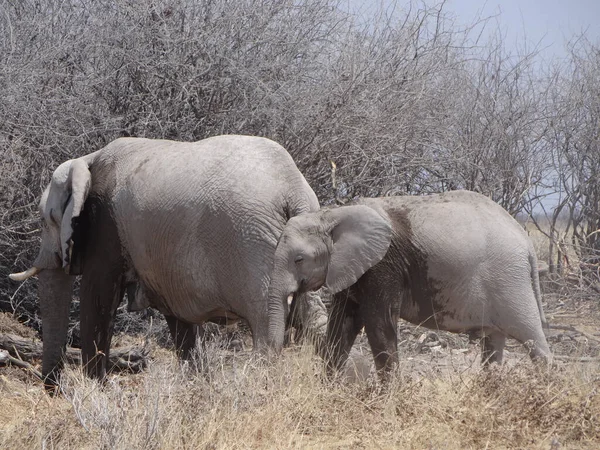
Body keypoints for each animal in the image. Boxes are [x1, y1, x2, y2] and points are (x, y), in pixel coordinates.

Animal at [8, 134, 318, 386]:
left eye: (46, 219)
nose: (55, 387)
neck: (88, 160)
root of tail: (294, 190)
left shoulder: (104, 227)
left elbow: (97, 299)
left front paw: (95, 391)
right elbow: (179, 320)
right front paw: (197, 386)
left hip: (251, 245)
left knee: (267, 328)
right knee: (312, 317)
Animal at [270, 190, 552, 376]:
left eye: (298, 259)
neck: (331, 214)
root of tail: (526, 242)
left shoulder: (383, 266)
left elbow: (378, 323)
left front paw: (387, 402)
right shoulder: (351, 268)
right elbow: (342, 324)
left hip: (511, 281)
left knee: (532, 338)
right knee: (494, 344)